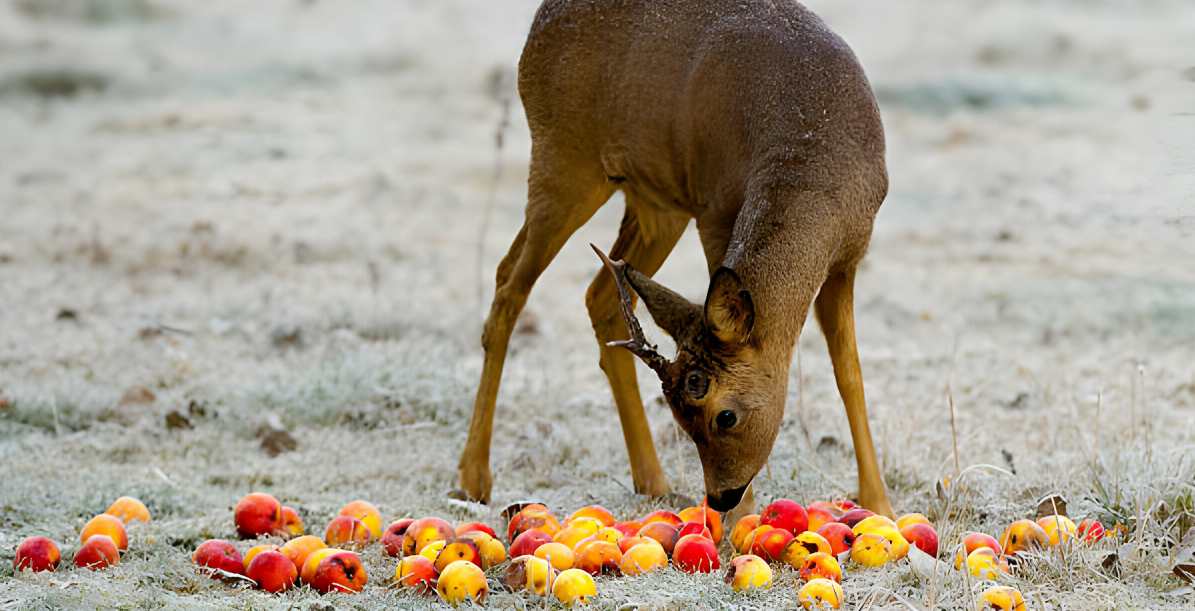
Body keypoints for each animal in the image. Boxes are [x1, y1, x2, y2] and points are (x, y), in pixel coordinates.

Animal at [451, 0, 893, 516]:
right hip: (564, 162)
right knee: (509, 284)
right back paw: (472, 479)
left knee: (599, 295)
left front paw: (880, 505)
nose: (721, 497)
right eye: (684, 419)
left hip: (654, 204)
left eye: (725, 416)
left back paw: (653, 481)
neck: (810, 150)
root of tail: (540, 22)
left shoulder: (847, 256)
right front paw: (745, 519)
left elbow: (849, 374)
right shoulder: (715, 215)